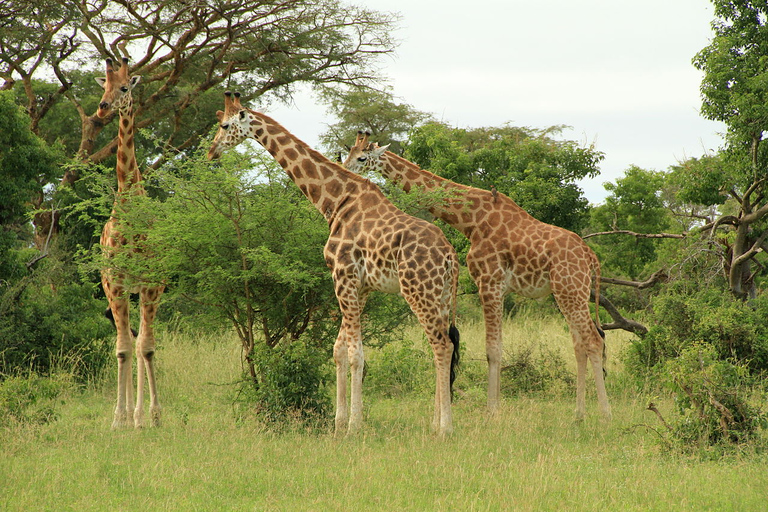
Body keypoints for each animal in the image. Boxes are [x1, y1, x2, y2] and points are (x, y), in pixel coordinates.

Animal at [208, 93, 462, 436]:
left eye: (225, 125)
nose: (211, 151)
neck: (334, 200)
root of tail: (450, 256)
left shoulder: (343, 276)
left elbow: (356, 354)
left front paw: (354, 424)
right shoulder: (360, 285)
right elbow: (339, 349)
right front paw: (339, 423)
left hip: (418, 290)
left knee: (442, 346)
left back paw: (445, 428)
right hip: (442, 295)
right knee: (442, 345)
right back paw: (435, 422)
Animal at [344, 131, 608, 420]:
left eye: (361, 157)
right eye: (347, 153)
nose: (346, 170)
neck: (471, 220)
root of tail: (591, 257)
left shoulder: (489, 281)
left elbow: (493, 350)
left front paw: (491, 412)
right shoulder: (496, 286)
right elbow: (496, 347)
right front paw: (494, 409)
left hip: (571, 290)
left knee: (594, 340)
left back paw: (606, 414)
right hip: (567, 293)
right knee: (580, 345)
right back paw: (578, 415)